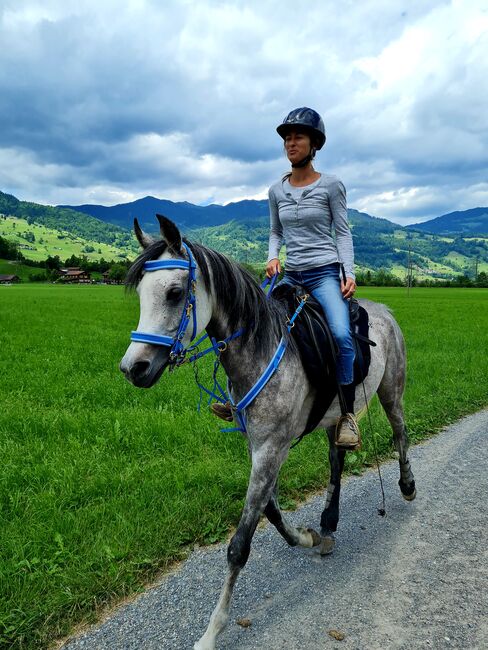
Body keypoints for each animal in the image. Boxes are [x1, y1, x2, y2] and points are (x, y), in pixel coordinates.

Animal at [119, 214, 416, 648]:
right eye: (141, 292)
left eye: (174, 293)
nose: (133, 368)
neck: (258, 351)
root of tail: (387, 311)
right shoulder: (260, 448)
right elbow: (272, 511)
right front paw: (306, 537)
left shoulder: (272, 449)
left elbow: (239, 546)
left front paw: (212, 630)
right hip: (335, 418)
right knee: (337, 462)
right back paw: (327, 526)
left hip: (391, 391)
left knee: (400, 434)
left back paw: (407, 485)